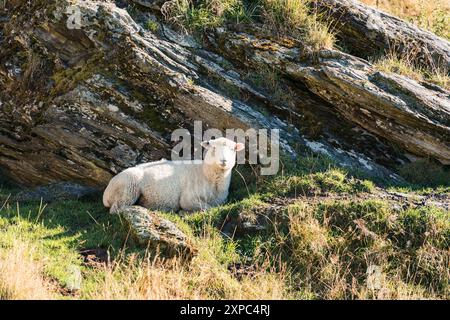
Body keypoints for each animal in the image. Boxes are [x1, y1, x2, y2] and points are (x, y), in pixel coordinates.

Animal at [102, 138, 244, 215]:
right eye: (213, 148)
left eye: (233, 149)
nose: (224, 161)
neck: (205, 173)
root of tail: (106, 194)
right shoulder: (188, 199)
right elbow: (207, 208)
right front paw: (183, 212)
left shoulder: (220, 201)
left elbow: (212, 207)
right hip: (127, 189)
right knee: (116, 209)